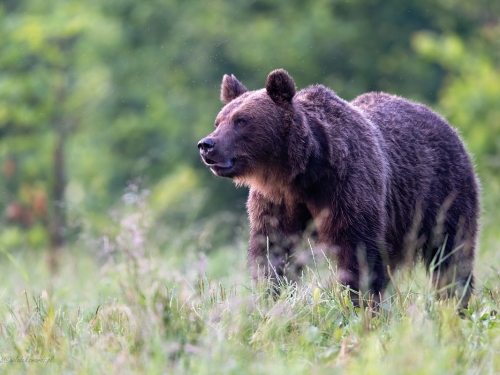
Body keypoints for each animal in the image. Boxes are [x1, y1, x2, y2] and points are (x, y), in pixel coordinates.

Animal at [197, 69, 478, 306]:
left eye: (241, 120)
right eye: (218, 121)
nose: (206, 145)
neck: (301, 173)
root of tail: (445, 123)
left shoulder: (346, 189)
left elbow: (358, 254)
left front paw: (358, 303)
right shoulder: (276, 202)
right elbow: (273, 254)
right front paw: (272, 297)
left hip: (442, 195)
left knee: (451, 255)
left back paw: (456, 302)